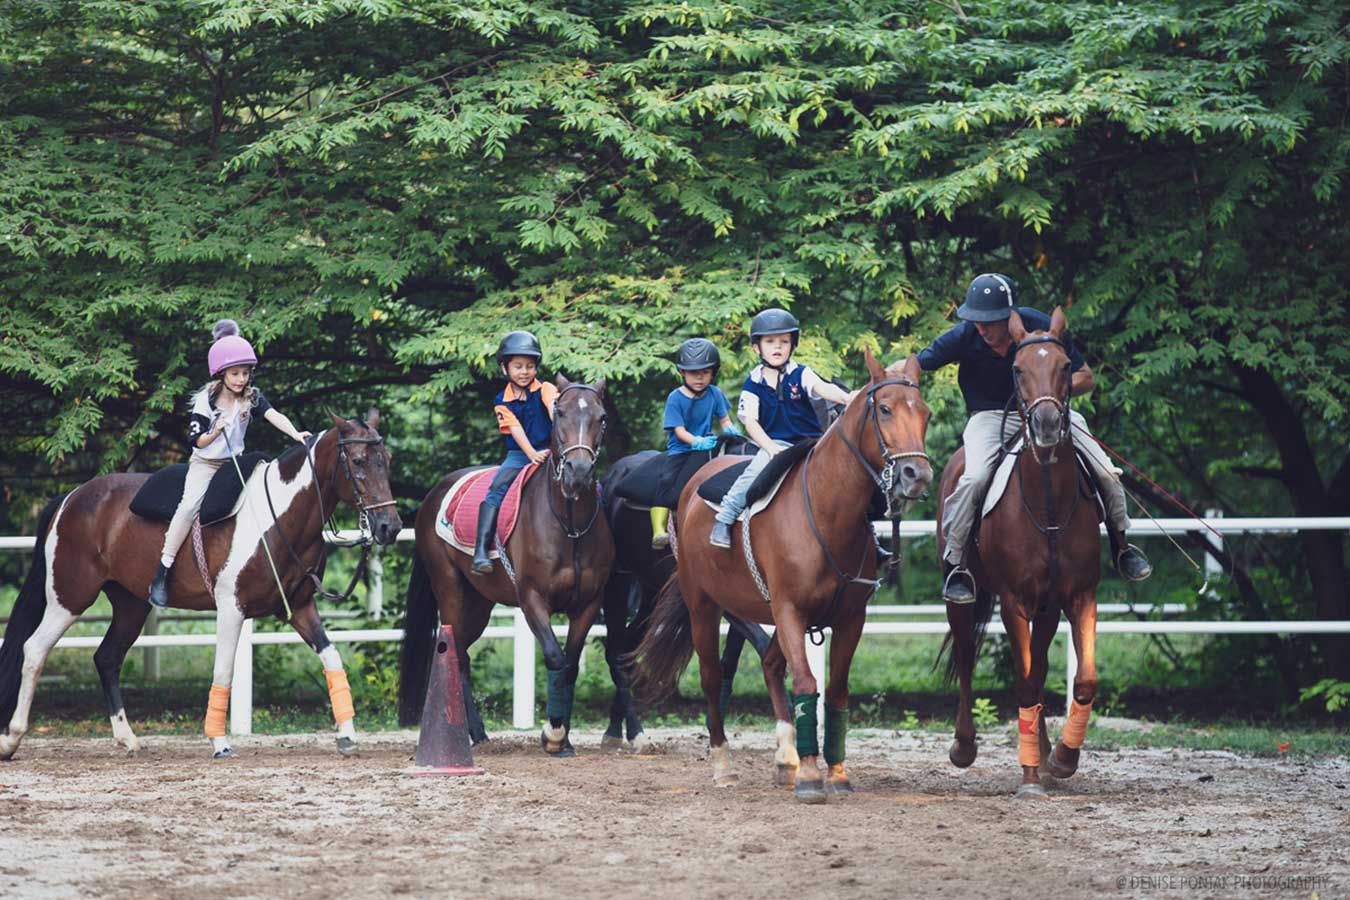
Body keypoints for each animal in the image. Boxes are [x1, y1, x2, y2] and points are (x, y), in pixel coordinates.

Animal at [0, 412, 399, 761]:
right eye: (359, 461)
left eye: (387, 459)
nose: (389, 527)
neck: (277, 517)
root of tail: (70, 499)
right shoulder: (231, 609)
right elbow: (223, 672)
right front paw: (219, 742)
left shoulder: (301, 608)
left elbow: (332, 659)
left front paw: (347, 735)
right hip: (69, 598)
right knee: (34, 650)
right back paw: (13, 738)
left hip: (131, 605)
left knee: (107, 658)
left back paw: (127, 739)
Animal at [396, 377, 615, 755]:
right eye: (559, 412)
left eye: (601, 417)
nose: (579, 472)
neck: (569, 526)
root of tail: (434, 495)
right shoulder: (532, 600)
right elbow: (555, 658)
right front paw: (552, 733)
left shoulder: (589, 604)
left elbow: (570, 666)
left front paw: (564, 737)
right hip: (451, 591)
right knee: (455, 652)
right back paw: (471, 732)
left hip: (479, 604)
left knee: (463, 652)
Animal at [629, 350, 928, 804]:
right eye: (886, 409)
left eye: (924, 412)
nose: (917, 474)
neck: (823, 508)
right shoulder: (790, 609)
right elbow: (805, 682)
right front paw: (811, 776)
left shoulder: (848, 618)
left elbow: (835, 692)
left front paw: (835, 773)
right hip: (704, 606)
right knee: (714, 678)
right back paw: (724, 765)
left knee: (770, 664)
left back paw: (786, 757)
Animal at [934, 307, 1101, 793]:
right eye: (1018, 370)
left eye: (1064, 366)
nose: (1045, 426)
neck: (1048, 502)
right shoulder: (1013, 602)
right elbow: (1023, 683)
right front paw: (1029, 776)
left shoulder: (1079, 596)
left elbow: (1082, 680)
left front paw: (1061, 759)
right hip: (963, 598)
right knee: (967, 658)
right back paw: (964, 746)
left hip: (1047, 609)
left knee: (1041, 667)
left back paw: (1045, 756)